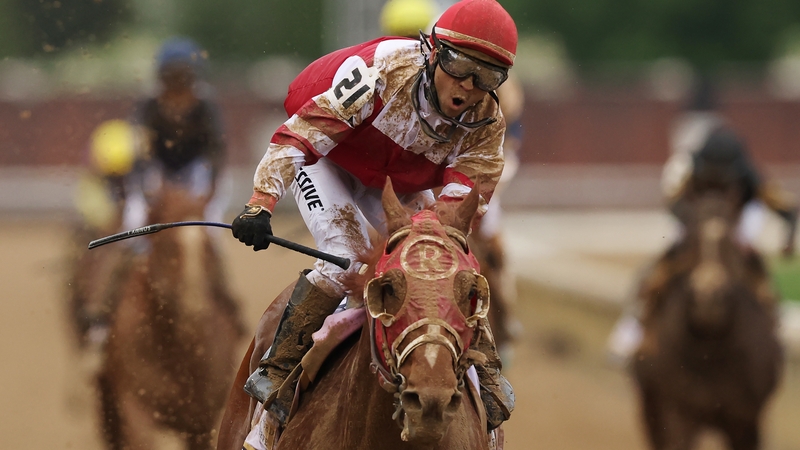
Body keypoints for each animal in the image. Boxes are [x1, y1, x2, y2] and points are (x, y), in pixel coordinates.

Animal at [632, 192, 780, 450]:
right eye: (691, 242)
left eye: (730, 243)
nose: (708, 296)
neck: (711, 355)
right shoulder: (678, 414)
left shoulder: (744, 420)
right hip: (651, 410)